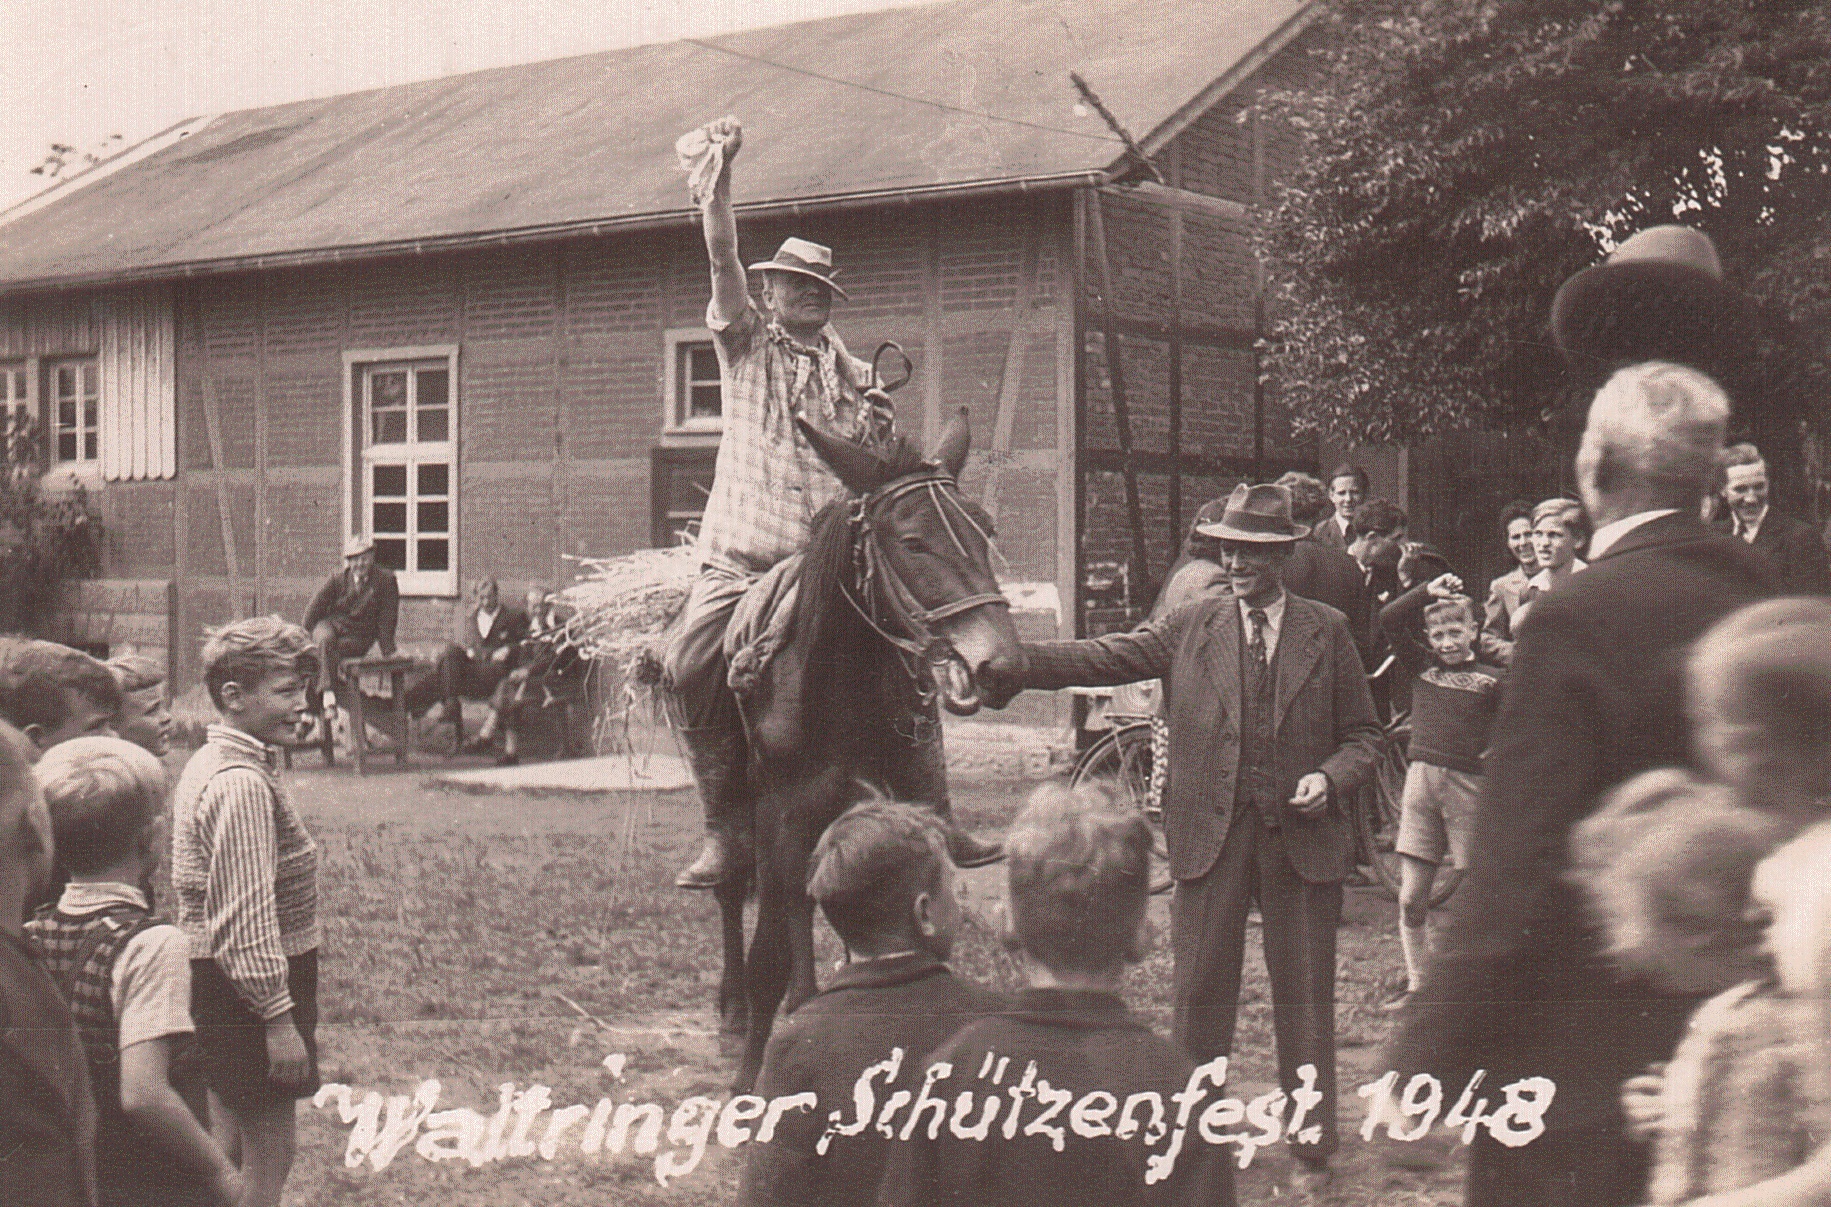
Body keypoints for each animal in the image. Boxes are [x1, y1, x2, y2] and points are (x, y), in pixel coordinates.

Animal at [714, 408, 1032, 1098]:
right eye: (911, 543)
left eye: (984, 530)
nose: (1001, 665)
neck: (839, 688)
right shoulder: (785, 814)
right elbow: (779, 948)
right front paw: (754, 1073)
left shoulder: (894, 804)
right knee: (733, 890)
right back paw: (735, 1015)